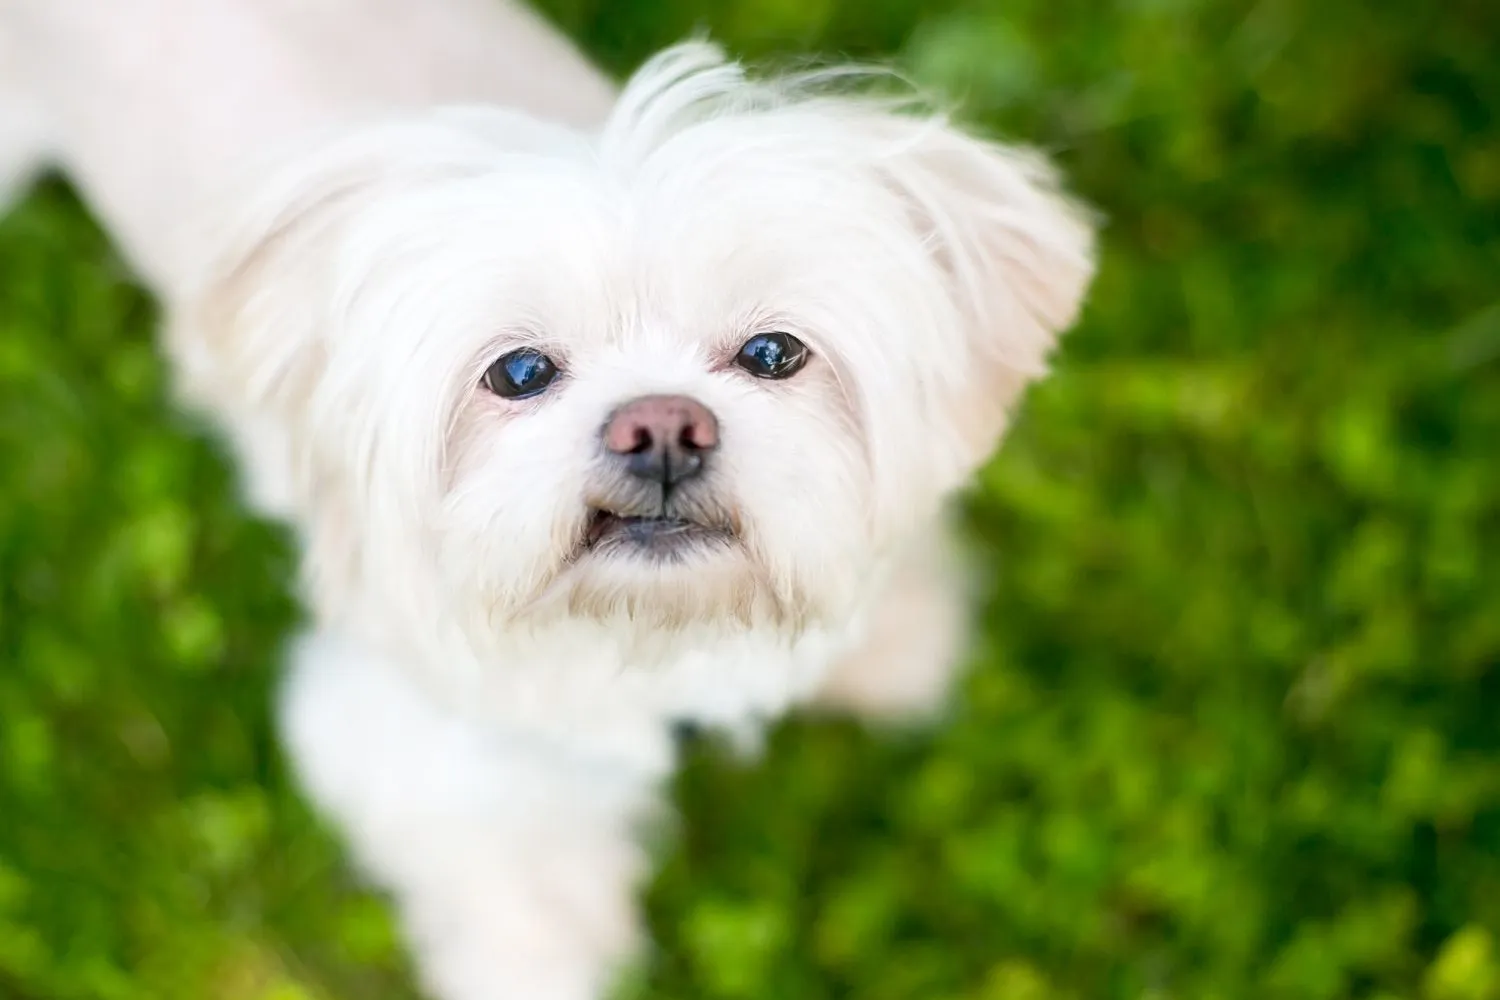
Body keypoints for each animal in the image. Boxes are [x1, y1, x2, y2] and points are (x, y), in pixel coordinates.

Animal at [5, 1, 1098, 1000]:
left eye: (772, 353)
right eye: (520, 372)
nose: (662, 426)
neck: (650, 638)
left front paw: (894, 642)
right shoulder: (429, 736)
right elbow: (514, 879)